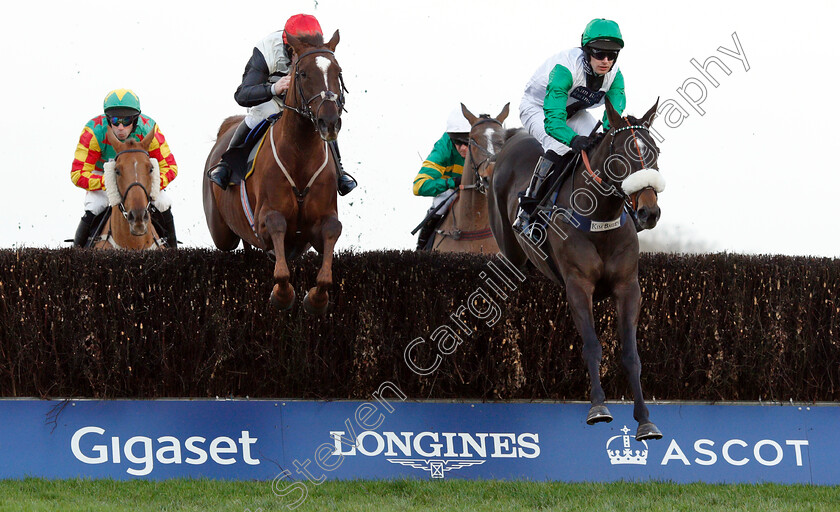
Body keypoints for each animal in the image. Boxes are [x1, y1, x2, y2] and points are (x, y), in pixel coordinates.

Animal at [203, 31, 344, 316]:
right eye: (303, 73)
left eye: (338, 72)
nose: (329, 122)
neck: (300, 157)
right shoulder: (264, 218)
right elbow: (277, 225)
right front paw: (282, 294)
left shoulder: (320, 222)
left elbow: (333, 231)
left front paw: (316, 298)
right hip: (221, 232)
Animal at [488, 99, 668, 440]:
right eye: (620, 155)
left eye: (655, 151)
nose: (648, 212)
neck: (600, 220)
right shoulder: (578, 286)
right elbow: (592, 346)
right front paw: (598, 407)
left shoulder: (628, 287)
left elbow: (631, 355)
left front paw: (645, 420)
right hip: (509, 253)